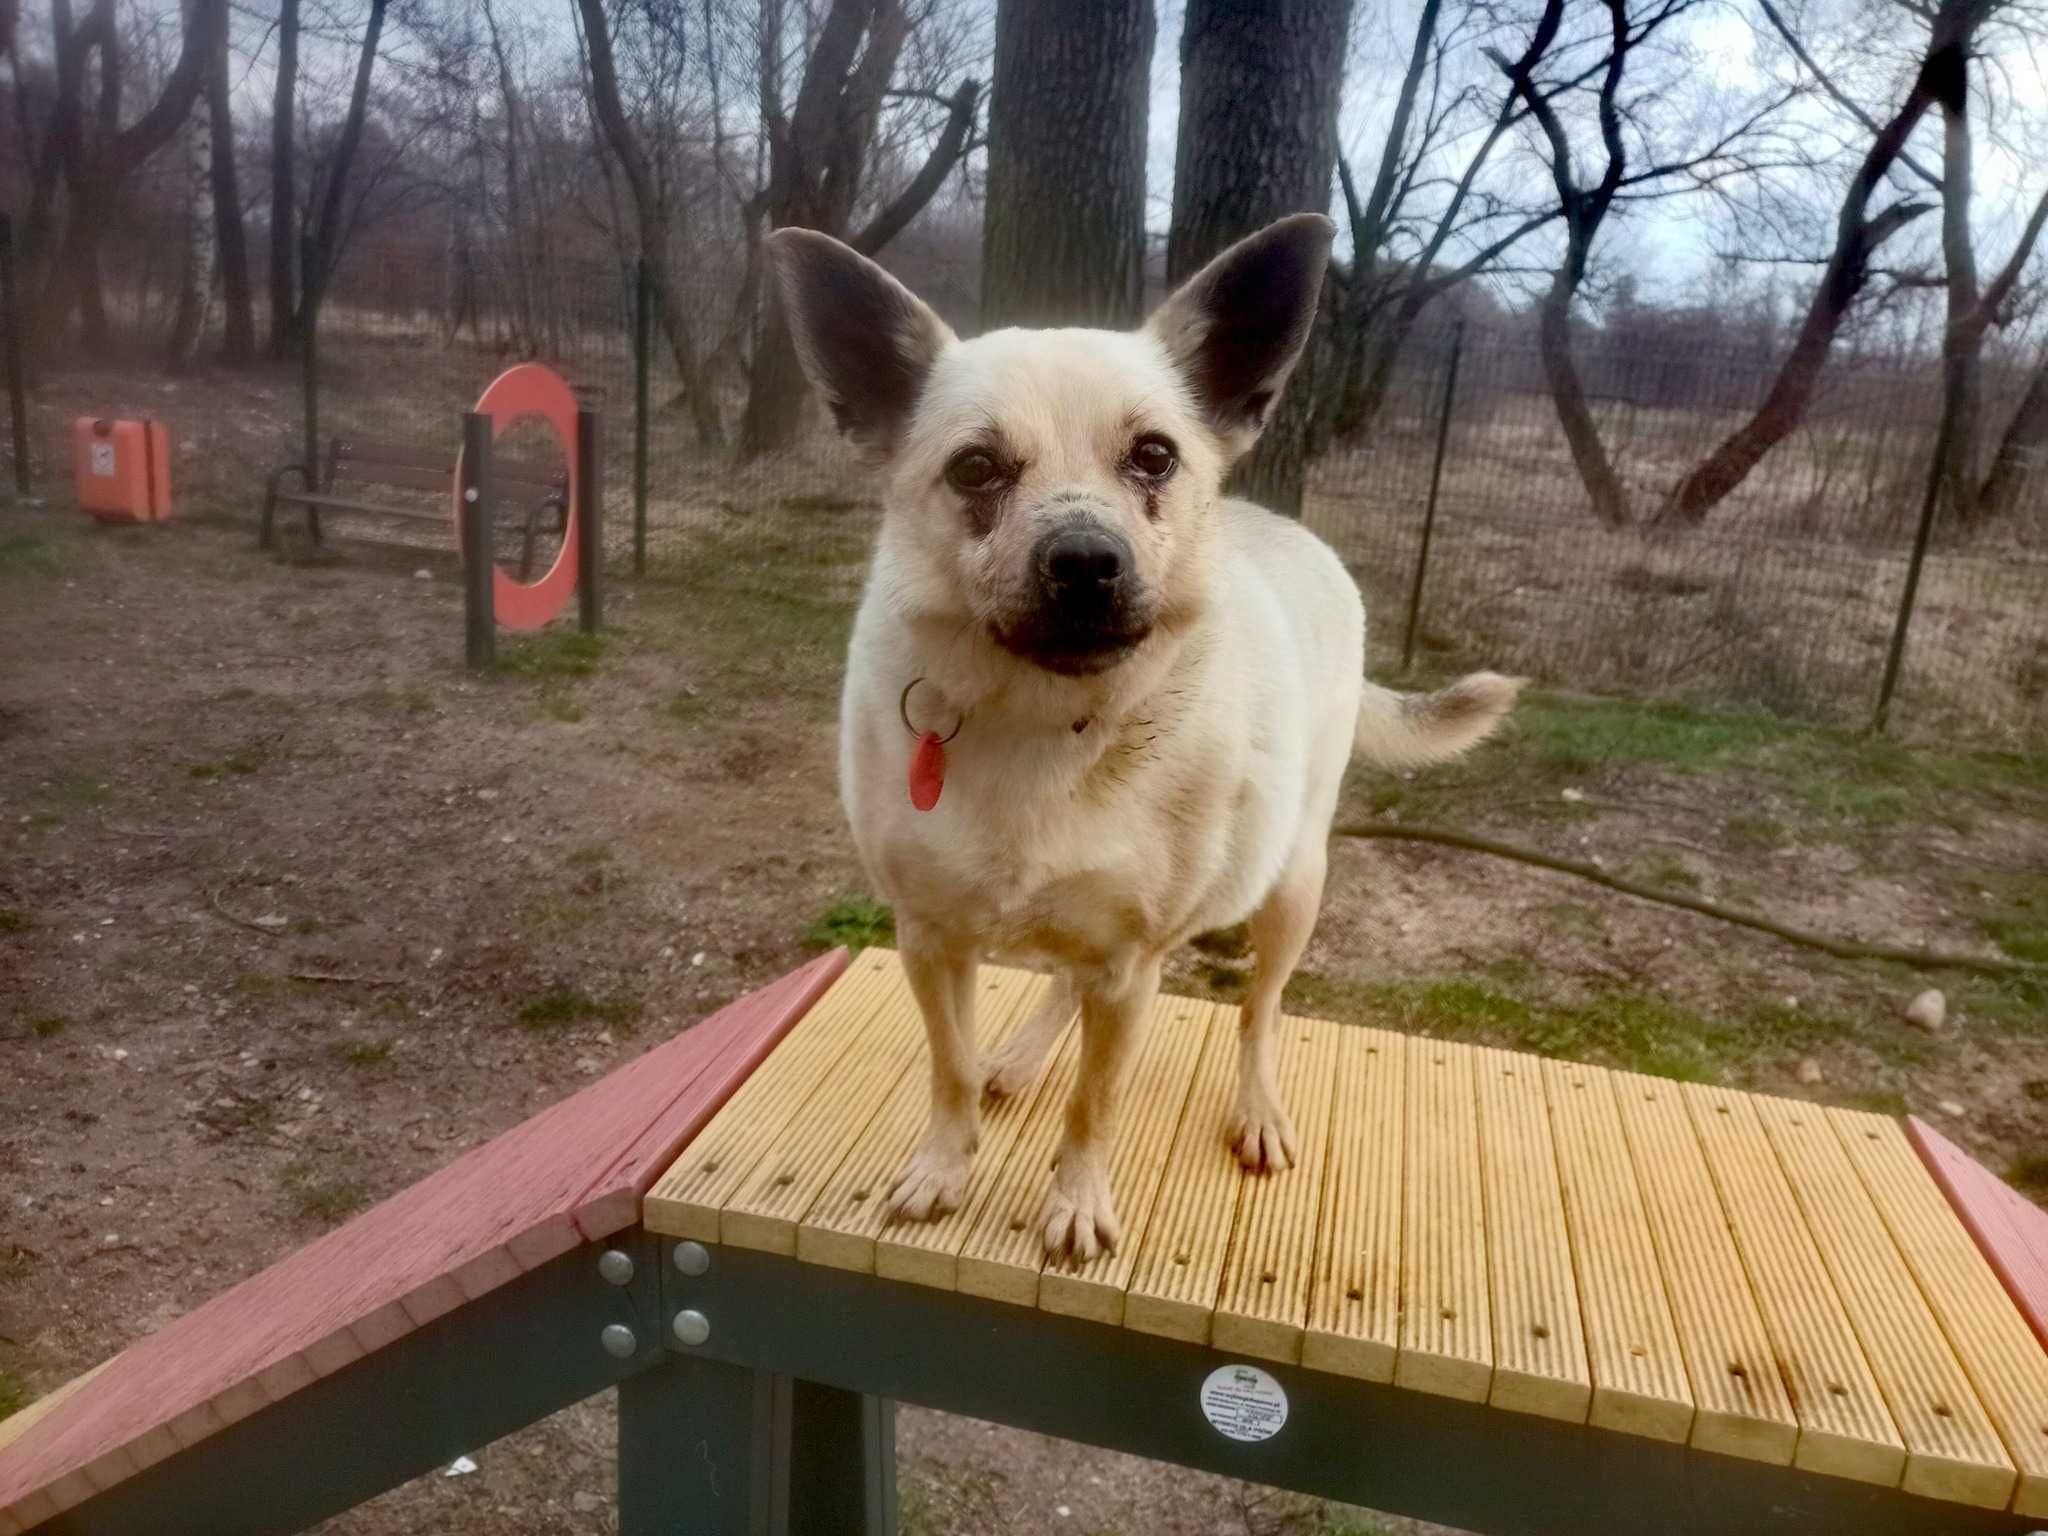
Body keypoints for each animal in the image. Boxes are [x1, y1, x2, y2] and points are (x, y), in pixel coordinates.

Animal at [770, 214, 1523, 1261]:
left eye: (1155, 457)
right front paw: (944, 1168)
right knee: (1066, 987)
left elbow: (1097, 1103)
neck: (1043, 720)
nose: (1087, 562)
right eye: (975, 468)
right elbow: (950, 1067)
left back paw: (1256, 1109)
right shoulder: (929, 940)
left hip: (1291, 886)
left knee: (1259, 1013)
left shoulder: (1132, 967)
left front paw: (1077, 1202)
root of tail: (1286, 528)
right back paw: (1023, 1057)